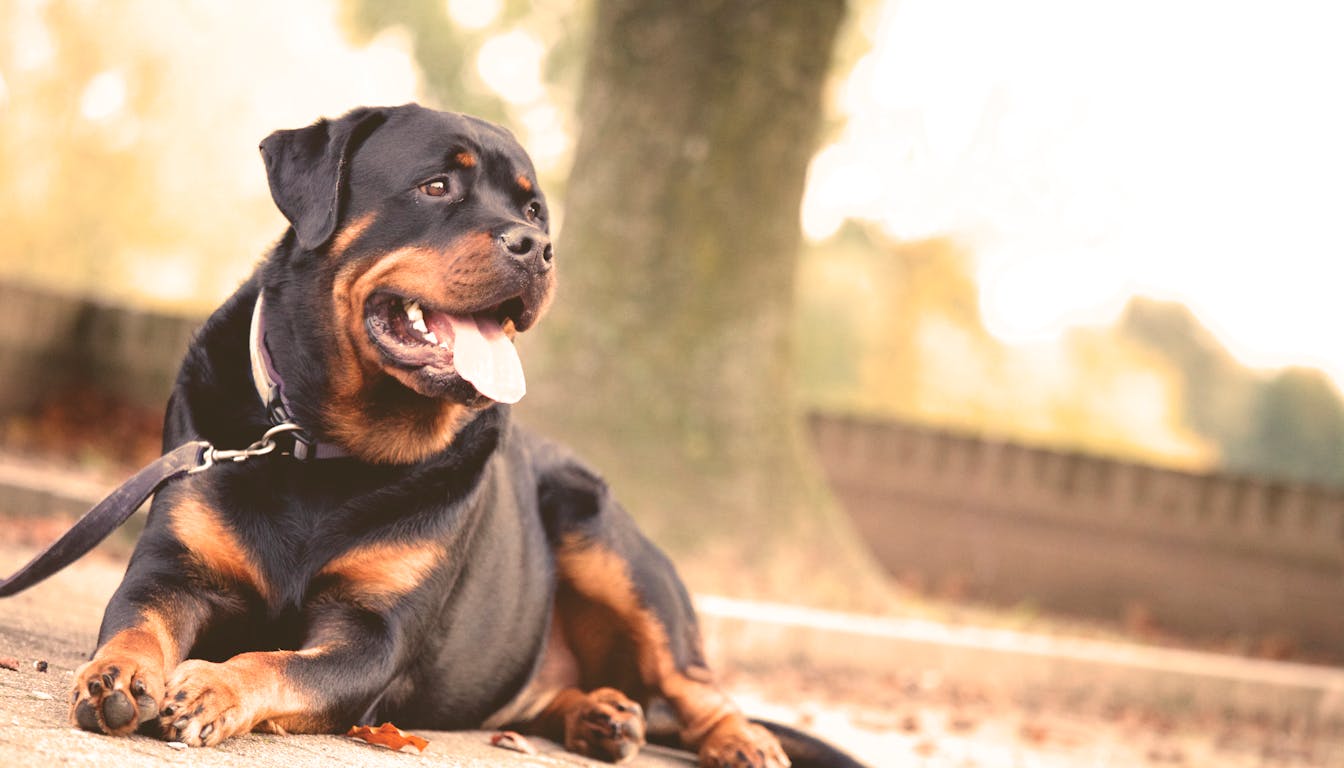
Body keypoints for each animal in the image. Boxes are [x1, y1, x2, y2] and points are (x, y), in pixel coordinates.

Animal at [65, 103, 860, 768]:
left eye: (534, 208)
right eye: (437, 185)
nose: (538, 244)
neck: (322, 443)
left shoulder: (373, 636)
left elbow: (281, 662)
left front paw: (213, 687)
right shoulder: (174, 569)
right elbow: (137, 620)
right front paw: (119, 674)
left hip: (606, 543)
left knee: (695, 683)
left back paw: (738, 739)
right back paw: (603, 715)